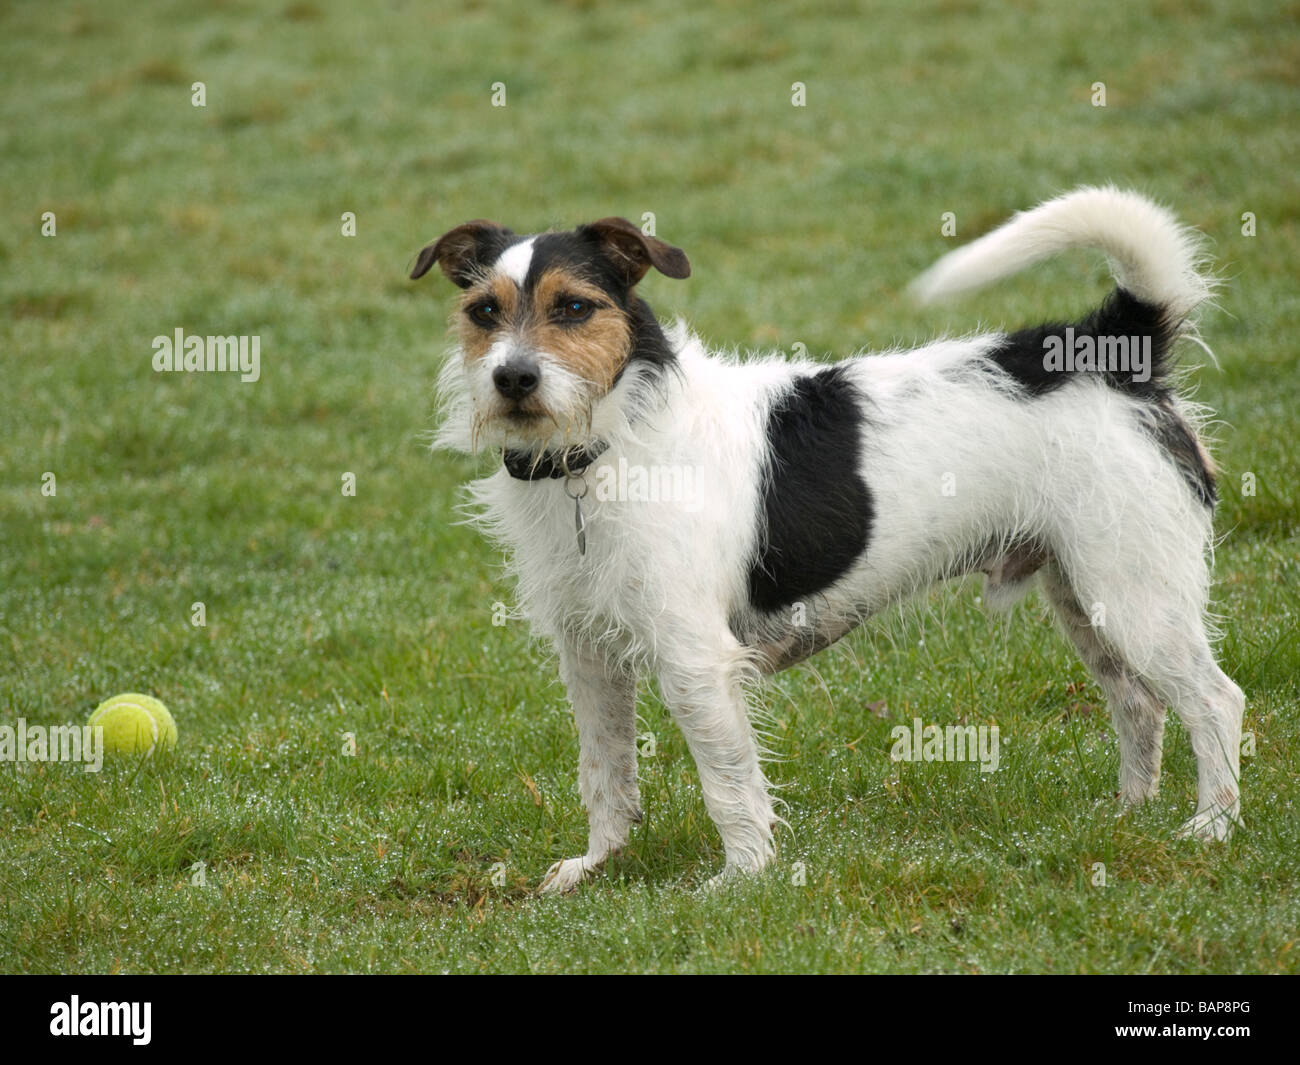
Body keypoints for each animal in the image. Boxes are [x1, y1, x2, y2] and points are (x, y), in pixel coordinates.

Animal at [410, 189, 1242, 889]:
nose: (513, 379)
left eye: (575, 307)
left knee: (1215, 701)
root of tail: (1115, 344)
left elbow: (729, 781)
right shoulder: (588, 657)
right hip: (1088, 597)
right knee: (1138, 703)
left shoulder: (696, 662)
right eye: (483, 311)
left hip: (1136, 596)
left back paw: (1213, 825)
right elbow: (605, 774)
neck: (606, 446)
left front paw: (741, 880)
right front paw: (597, 866)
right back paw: (1129, 813)